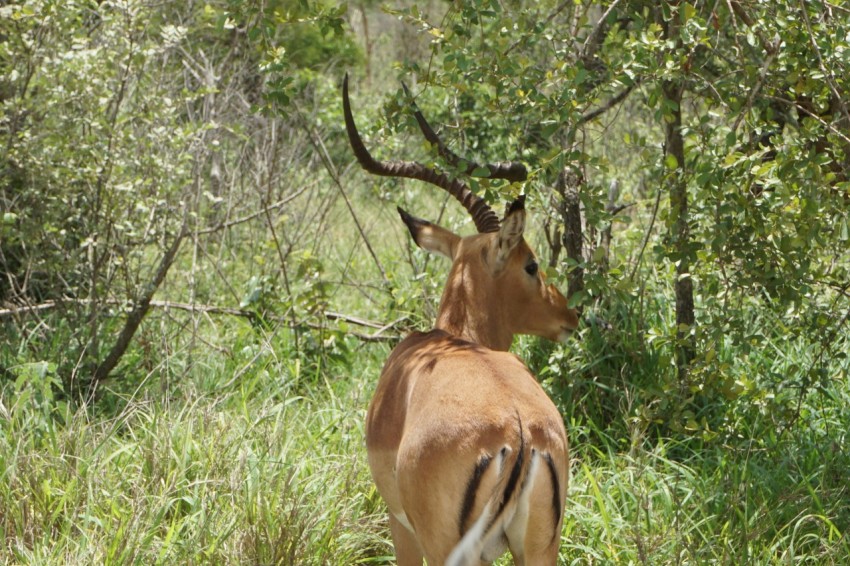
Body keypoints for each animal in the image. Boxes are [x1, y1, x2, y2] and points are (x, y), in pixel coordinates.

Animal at [342, 76, 580, 566]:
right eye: (531, 265)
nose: (569, 313)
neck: (453, 338)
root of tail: (520, 433)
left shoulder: (401, 527)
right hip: (538, 550)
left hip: (448, 549)